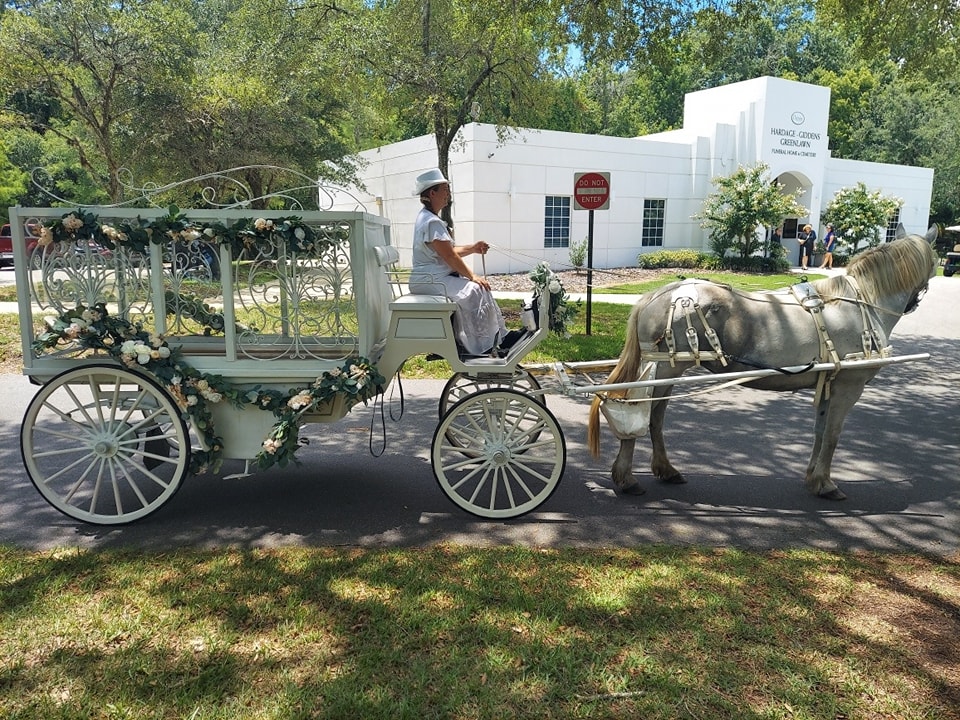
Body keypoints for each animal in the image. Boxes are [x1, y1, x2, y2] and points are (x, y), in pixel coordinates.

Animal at [584, 228, 936, 498]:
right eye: (933, 265)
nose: (915, 301)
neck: (862, 303)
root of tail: (658, 294)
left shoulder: (828, 384)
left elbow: (820, 431)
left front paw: (813, 477)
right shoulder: (848, 387)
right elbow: (833, 436)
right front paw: (826, 484)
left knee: (654, 419)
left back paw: (665, 470)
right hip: (663, 368)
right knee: (642, 414)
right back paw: (627, 478)